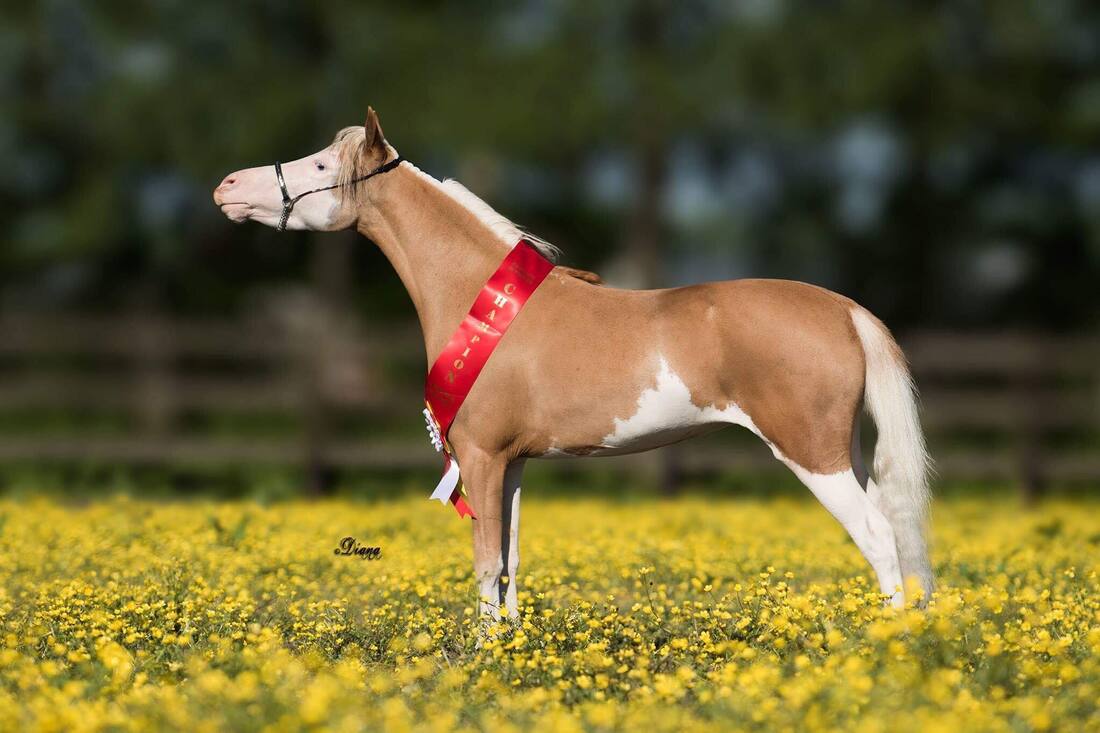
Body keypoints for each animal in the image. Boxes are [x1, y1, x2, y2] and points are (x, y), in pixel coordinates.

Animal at [214, 108, 933, 622]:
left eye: (318, 163)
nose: (227, 185)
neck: (478, 294)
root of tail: (844, 309)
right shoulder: (513, 464)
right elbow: (509, 563)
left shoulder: (479, 457)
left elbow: (485, 566)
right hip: (845, 451)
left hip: (812, 452)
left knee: (877, 535)